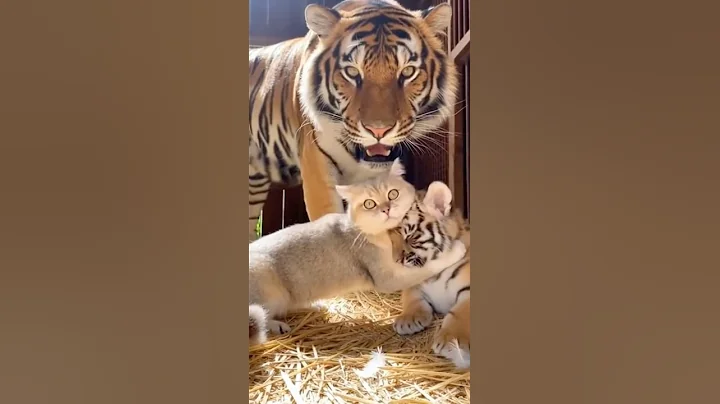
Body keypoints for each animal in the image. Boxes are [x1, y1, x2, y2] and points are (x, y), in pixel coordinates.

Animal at [389, 181, 471, 369]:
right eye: (390, 237)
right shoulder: (412, 284)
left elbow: (459, 313)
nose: (395, 261)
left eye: (410, 236)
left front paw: (451, 341)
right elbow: (411, 298)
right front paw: (408, 320)